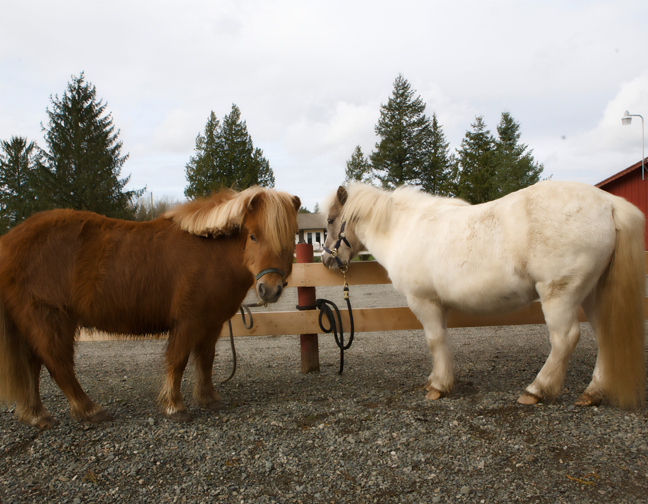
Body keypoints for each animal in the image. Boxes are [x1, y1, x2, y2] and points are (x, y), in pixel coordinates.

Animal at [0, 186, 300, 429]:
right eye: (253, 236)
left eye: (291, 237)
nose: (270, 290)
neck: (211, 252)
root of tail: (9, 242)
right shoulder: (189, 322)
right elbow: (178, 360)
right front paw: (175, 407)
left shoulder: (211, 323)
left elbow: (205, 360)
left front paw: (209, 399)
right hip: (49, 319)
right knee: (58, 365)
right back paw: (89, 411)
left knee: (33, 366)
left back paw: (37, 415)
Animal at [322, 181, 646, 409]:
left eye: (330, 221)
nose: (326, 260)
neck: (405, 229)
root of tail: (608, 203)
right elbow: (443, 340)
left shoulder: (423, 301)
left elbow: (435, 340)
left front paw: (438, 386)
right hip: (591, 294)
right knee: (605, 336)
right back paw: (593, 392)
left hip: (560, 294)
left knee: (564, 339)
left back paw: (536, 390)